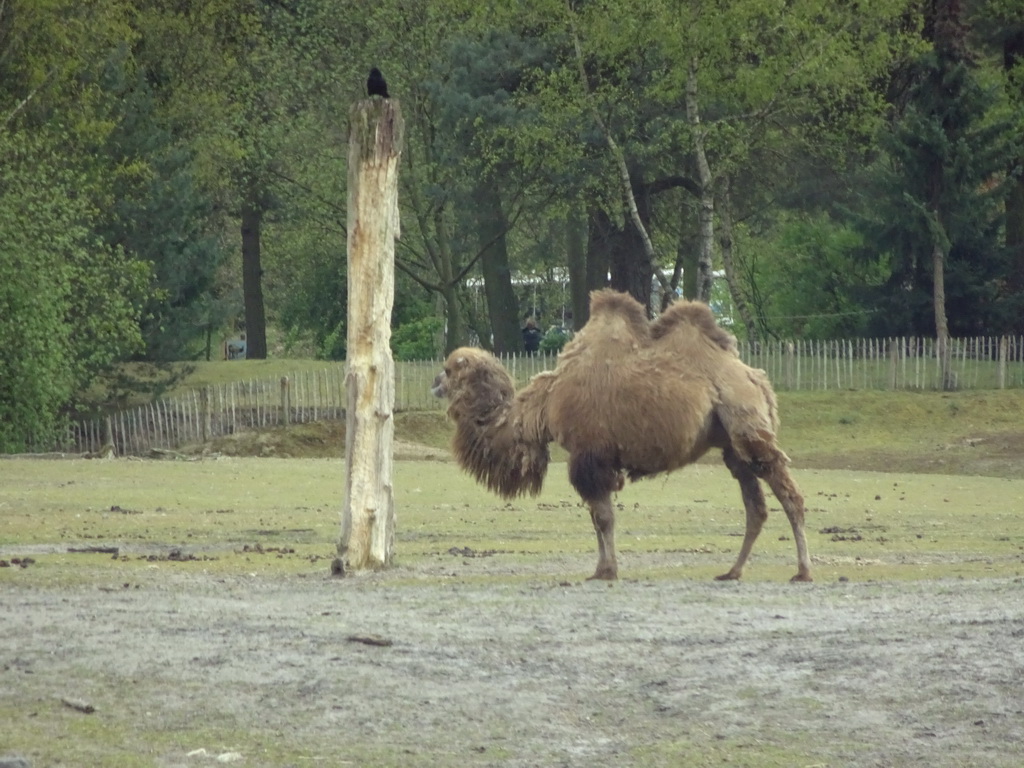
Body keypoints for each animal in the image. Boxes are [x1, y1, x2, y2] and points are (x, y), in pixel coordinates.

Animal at [428, 290, 811, 581]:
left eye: (449, 369)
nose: (434, 382)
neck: (544, 406)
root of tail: (756, 379)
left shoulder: (589, 455)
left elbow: (603, 518)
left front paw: (607, 571)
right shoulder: (594, 460)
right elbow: (598, 518)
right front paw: (602, 568)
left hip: (745, 422)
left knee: (788, 493)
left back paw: (802, 571)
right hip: (730, 443)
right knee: (755, 505)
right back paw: (732, 571)